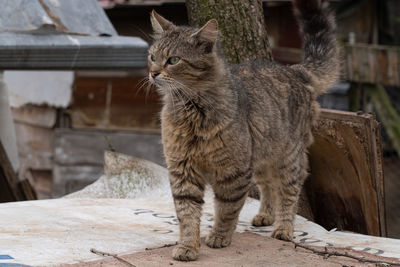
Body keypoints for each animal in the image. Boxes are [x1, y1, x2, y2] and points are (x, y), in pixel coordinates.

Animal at [146, 0, 338, 262]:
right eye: (152, 57)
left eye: (173, 60)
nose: (153, 73)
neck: (191, 109)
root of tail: (293, 70)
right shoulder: (183, 169)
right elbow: (187, 214)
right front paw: (187, 247)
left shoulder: (233, 172)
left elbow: (227, 209)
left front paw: (219, 237)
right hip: (261, 157)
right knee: (268, 186)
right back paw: (265, 215)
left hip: (287, 158)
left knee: (289, 191)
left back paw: (283, 228)